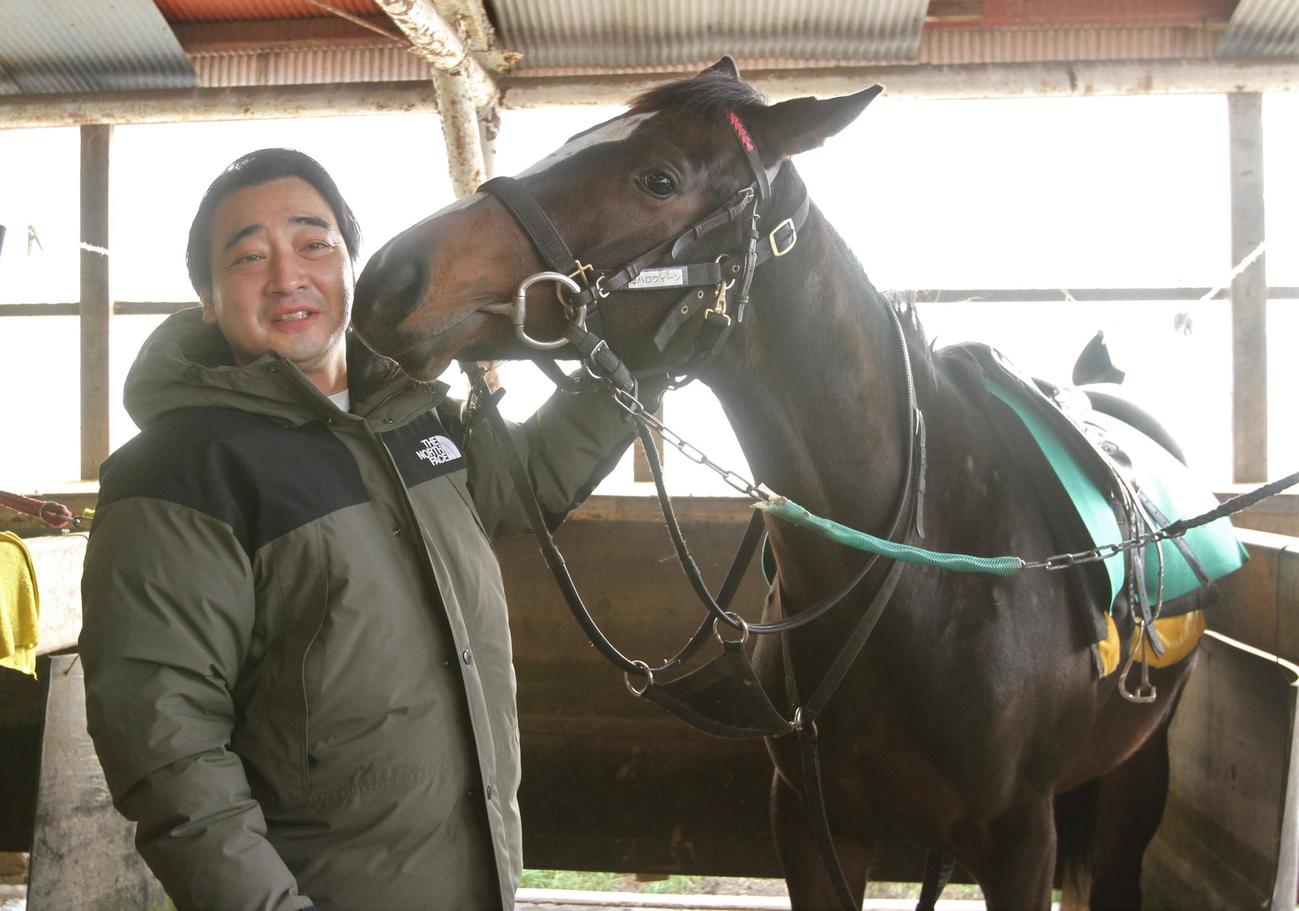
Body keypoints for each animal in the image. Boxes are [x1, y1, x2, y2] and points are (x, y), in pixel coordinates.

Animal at [352, 58, 1212, 910]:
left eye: (658, 178)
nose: (391, 276)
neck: (927, 569)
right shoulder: (809, 823)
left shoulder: (1020, 841)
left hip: (1133, 783)